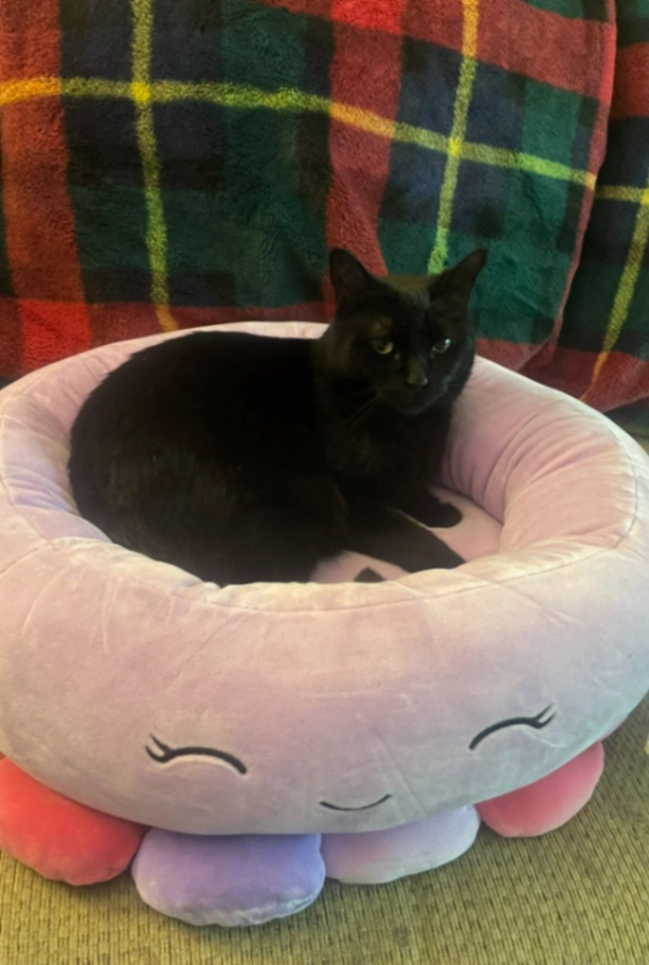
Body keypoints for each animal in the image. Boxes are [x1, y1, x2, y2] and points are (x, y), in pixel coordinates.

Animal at [68, 247, 486, 585]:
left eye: (442, 344)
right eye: (382, 346)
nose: (419, 381)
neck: (407, 429)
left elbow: (411, 490)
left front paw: (440, 513)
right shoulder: (355, 504)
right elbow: (413, 538)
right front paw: (457, 572)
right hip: (304, 491)